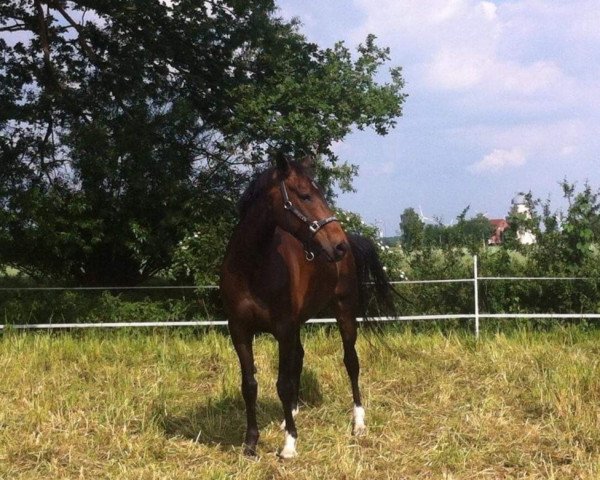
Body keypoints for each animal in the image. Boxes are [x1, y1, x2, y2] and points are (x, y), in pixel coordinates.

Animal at [218, 154, 396, 458]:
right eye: (305, 195)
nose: (338, 246)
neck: (251, 268)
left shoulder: (283, 330)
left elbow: (283, 383)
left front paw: (290, 444)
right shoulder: (240, 331)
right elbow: (250, 385)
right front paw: (251, 443)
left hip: (344, 312)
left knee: (351, 362)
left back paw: (359, 423)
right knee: (299, 360)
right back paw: (290, 414)